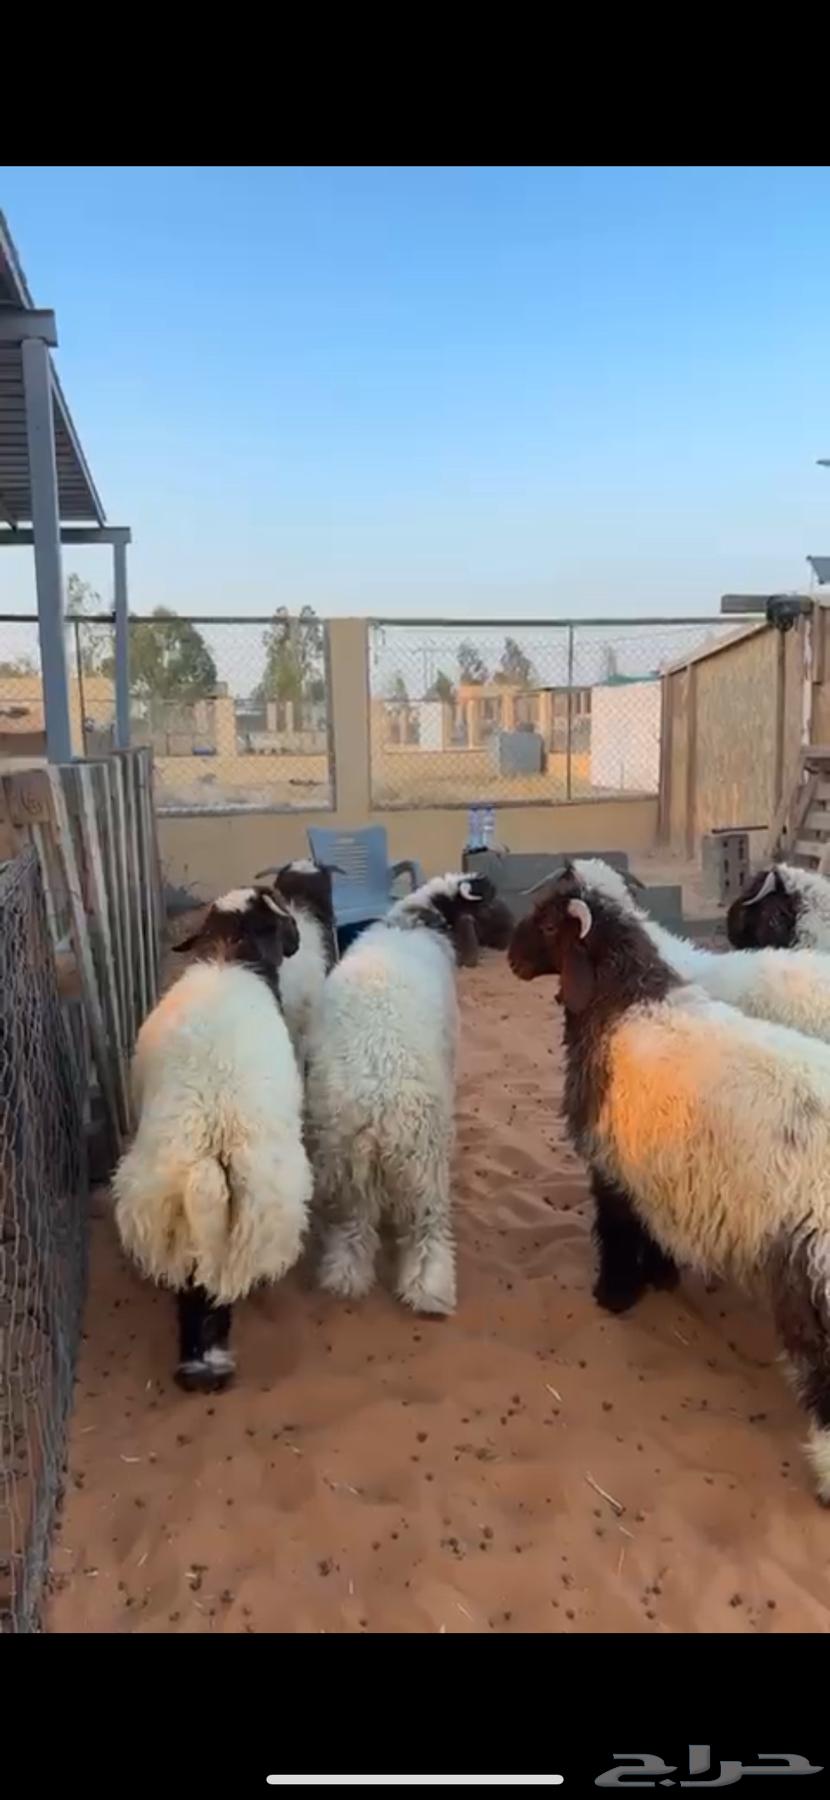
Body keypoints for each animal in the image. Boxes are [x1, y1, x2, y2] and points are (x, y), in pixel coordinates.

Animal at [112, 886, 312, 1393]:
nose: (296, 940)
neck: (230, 953)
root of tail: (213, 1150)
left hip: (176, 1218)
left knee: (195, 1288)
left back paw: (202, 1364)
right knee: (214, 1290)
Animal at [306, 871, 497, 1315]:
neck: (414, 921)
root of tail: (376, 1112)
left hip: (347, 1167)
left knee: (352, 1230)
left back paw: (345, 1280)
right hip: (423, 1165)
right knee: (427, 1231)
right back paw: (430, 1291)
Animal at [509, 862, 830, 1503]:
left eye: (551, 922)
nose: (506, 954)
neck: (624, 1002)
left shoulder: (611, 1163)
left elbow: (615, 1229)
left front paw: (614, 1294)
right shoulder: (661, 1174)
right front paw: (661, 1277)